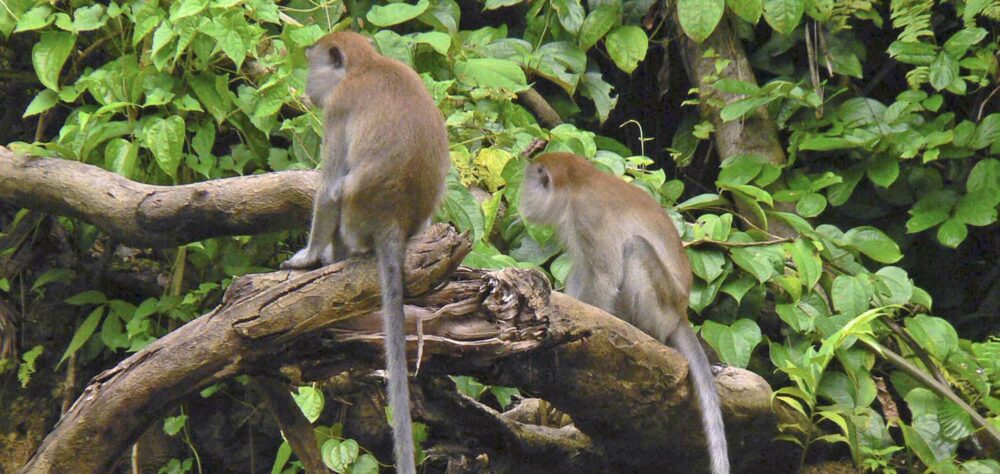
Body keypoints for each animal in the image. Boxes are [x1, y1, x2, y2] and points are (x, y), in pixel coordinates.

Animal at [280, 31, 450, 474]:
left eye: (313, 64)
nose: (308, 89)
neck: (367, 65)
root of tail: (396, 223)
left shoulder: (339, 106)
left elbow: (327, 188)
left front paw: (307, 257)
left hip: (357, 220)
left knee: (341, 190)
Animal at [519, 152, 730, 474]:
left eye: (529, 181)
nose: (521, 198)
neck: (579, 182)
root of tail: (680, 312)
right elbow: (583, 272)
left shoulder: (587, 216)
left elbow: (603, 278)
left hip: (659, 307)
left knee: (635, 248)